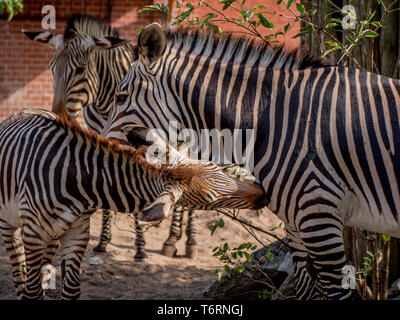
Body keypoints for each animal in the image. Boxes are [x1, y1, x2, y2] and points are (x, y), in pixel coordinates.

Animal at [0, 109, 268, 300]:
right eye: (209, 200)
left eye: (216, 167)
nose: (263, 194)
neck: (77, 178)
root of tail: (21, 111)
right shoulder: (34, 233)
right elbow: (31, 292)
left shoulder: (78, 231)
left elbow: (71, 290)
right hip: (12, 226)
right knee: (20, 276)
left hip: (55, 234)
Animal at [22, 13, 197, 262]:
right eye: (51, 68)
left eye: (81, 69)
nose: (59, 116)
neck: (105, 101)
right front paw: (103, 242)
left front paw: (140, 248)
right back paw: (173, 238)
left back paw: (184, 240)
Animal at [101, 23, 400, 300]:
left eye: (121, 97)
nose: (102, 149)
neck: (272, 119)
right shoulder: (297, 226)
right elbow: (306, 289)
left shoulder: (319, 216)